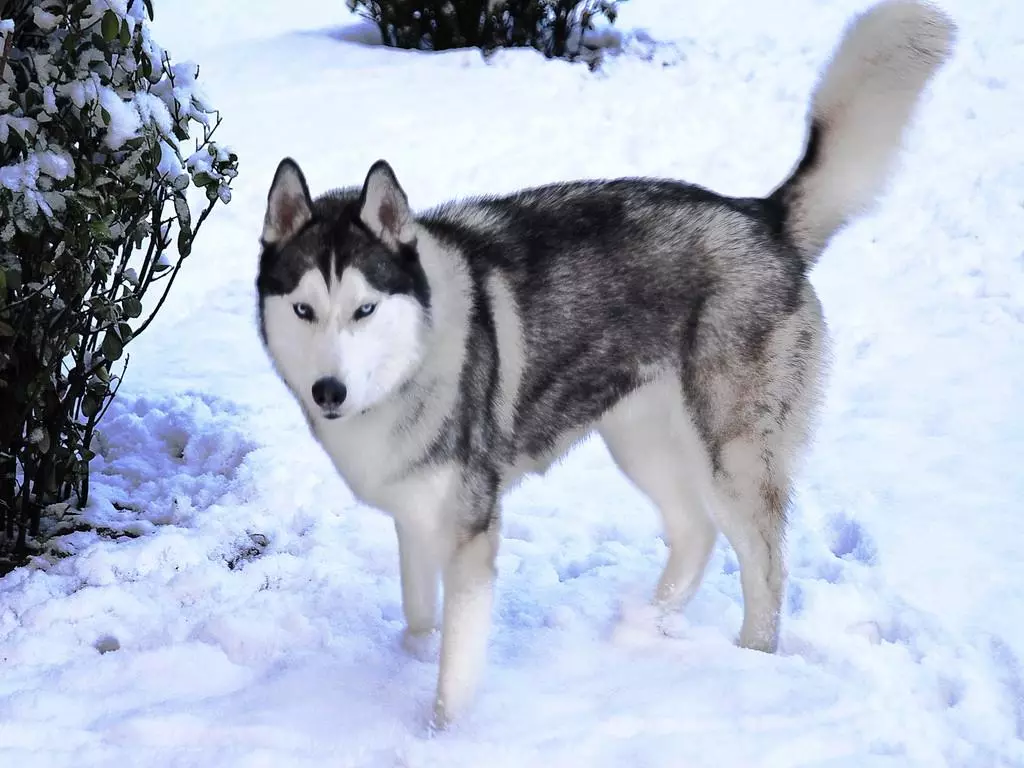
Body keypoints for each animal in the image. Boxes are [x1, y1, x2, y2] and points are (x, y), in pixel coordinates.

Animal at [253, 0, 950, 729]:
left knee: (764, 565)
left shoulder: (470, 529)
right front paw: (409, 662)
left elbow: (454, 668)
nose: (329, 390)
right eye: (304, 310)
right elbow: (419, 618)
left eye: (363, 310)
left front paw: (443, 731)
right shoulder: (415, 515)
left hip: (730, 456)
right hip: (641, 439)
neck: (419, 350)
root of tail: (761, 217)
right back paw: (645, 627)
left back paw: (749, 662)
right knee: (695, 531)